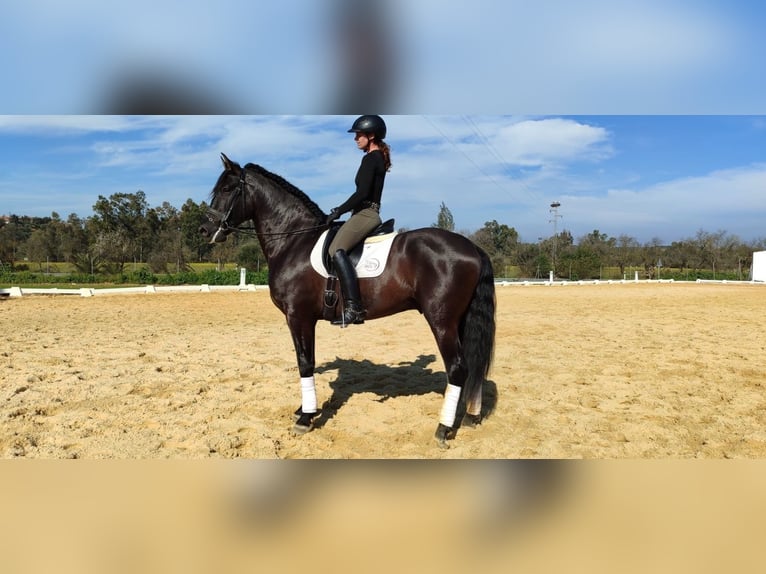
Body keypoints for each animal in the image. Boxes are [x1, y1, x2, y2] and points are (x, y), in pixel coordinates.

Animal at [199, 153, 496, 448]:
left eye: (227, 189)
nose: (204, 230)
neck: (294, 240)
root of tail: (472, 247)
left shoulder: (298, 315)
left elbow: (305, 362)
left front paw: (306, 418)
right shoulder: (303, 318)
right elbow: (307, 358)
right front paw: (305, 409)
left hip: (442, 320)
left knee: (457, 368)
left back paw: (443, 429)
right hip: (460, 319)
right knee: (473, 366)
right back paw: (471, 416)